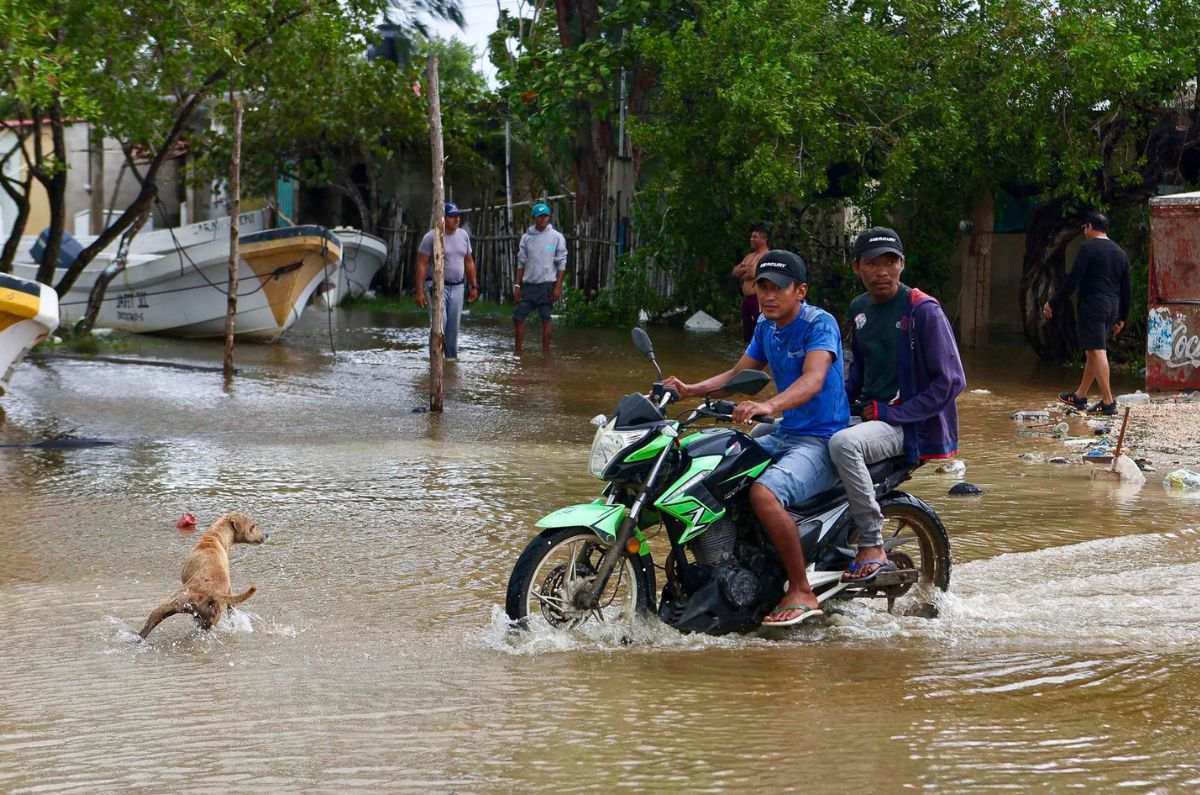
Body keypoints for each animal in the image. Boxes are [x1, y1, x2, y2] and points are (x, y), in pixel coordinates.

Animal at [139, 516, 268, 643]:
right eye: (253, 526)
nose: (266, 535)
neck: (215, 537)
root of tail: (209, 592)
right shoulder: (229, 591)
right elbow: (231, 608)